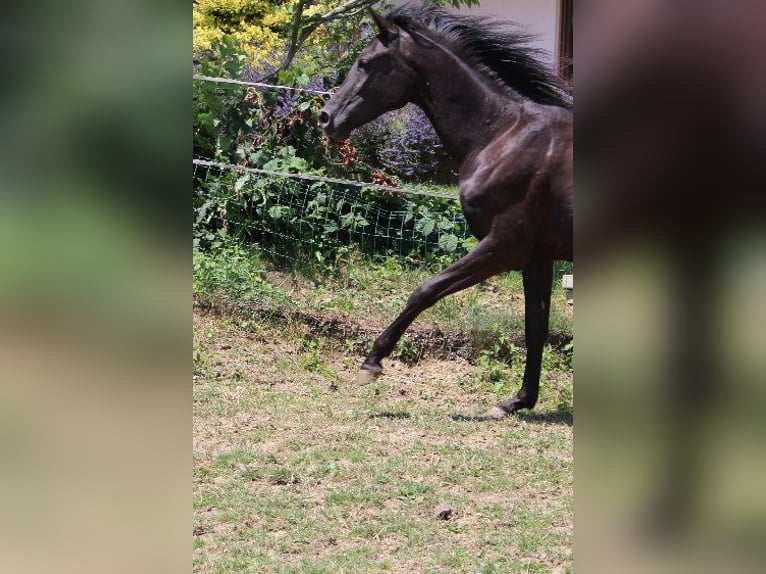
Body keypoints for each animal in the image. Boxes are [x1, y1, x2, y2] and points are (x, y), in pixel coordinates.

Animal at [316, 4, 572, 418]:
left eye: (365, 62)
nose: (325, 118)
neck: (502, 136)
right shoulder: (537, 257)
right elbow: (536, 327)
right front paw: (518, 401)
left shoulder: (505, 246)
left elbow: (425, 291)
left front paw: (371, 363)